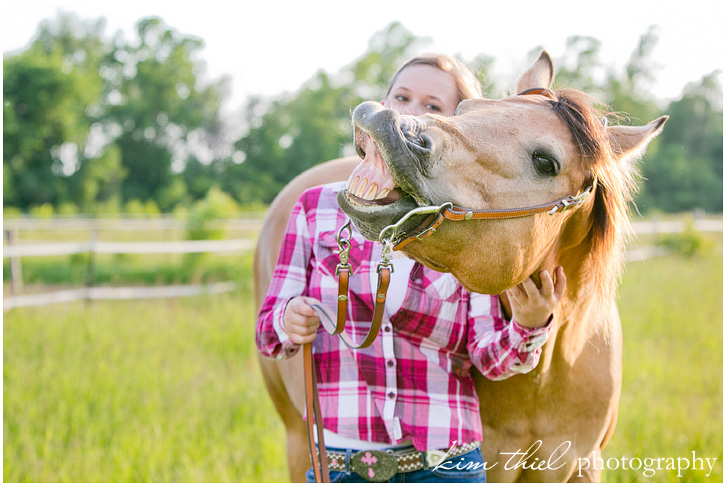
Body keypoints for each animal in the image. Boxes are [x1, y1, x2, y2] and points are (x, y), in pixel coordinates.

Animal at [253, 50, 668, 482]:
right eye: (466, 108)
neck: (548, 373)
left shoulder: (584, 465)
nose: (388, 123)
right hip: (300, 442)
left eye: (545, 161)